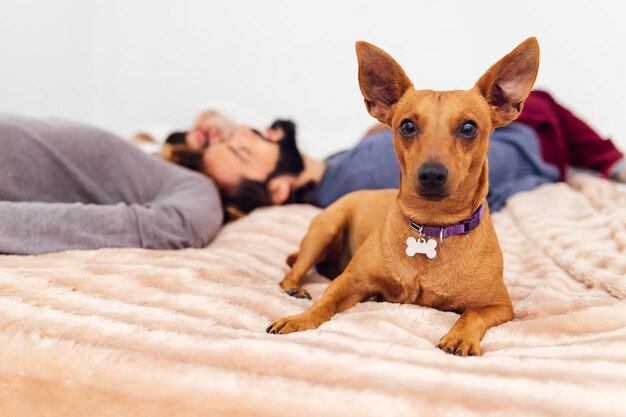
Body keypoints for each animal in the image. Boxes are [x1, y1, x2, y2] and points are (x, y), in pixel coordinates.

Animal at [266, 38, 540, 354]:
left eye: (469, 128)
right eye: (407, 126)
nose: (431, 174)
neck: (433, 227)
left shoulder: (501, 306)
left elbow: (472, 314)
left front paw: (460, 336)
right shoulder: (350, 281)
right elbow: (325, 302)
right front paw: (301, 318)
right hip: (325, 230)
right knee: (294, 270)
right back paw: (295, 288)